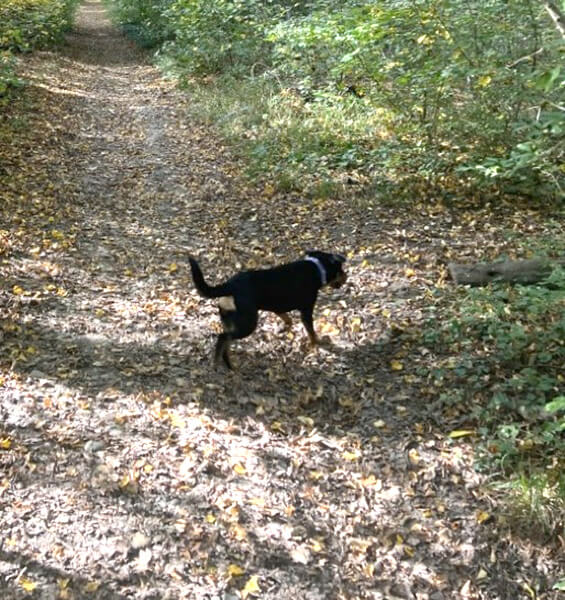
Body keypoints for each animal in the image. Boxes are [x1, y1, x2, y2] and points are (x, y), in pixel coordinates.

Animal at [189, 251, 347, 369]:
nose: (346, 277)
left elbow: (288, 319)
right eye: (341, 270)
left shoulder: (278, 307)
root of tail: (229, 285)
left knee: (226, 341)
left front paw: (283, 329)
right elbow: (311, 333)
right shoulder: (306, 311)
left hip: (229, 319)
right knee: (223, 338)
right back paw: (218, 362)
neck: (317, 268)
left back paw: (229, 365)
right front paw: (316, 344)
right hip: (248, 323)